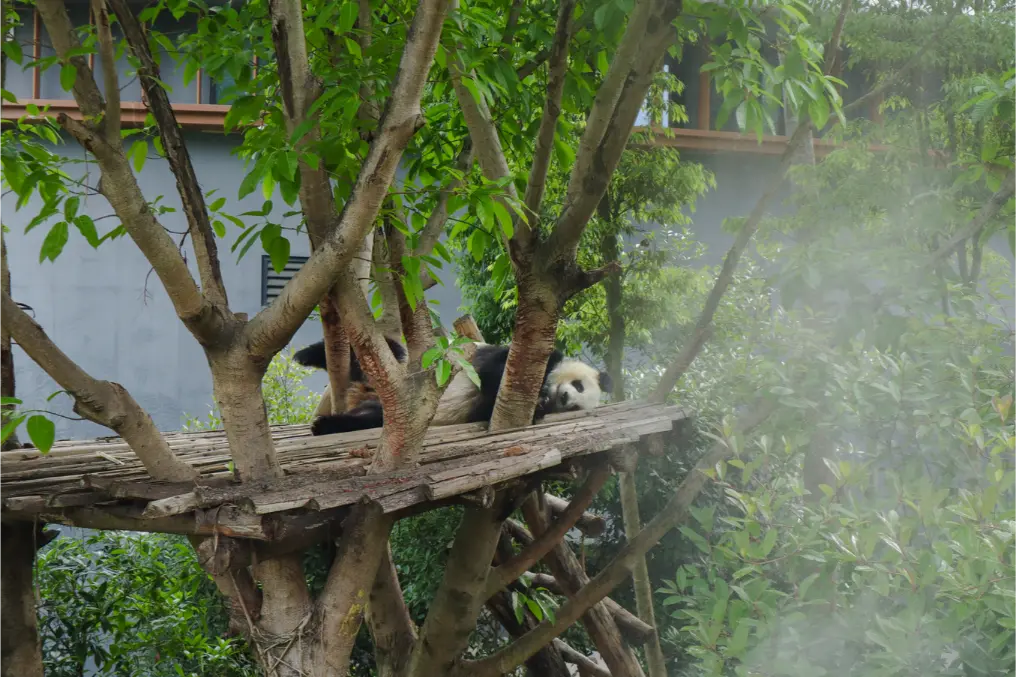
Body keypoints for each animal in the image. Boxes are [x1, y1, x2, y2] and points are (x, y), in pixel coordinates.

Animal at [295, 339, 611, 436]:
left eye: (573, 406)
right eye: (578, 385)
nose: (564, 397)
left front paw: (538, 409)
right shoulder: (491, 357)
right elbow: (492, 371)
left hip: (384, 409)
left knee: (369, 418)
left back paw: (327, 425)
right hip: (399, 367)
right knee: (386, 349)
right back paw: (306, 355)